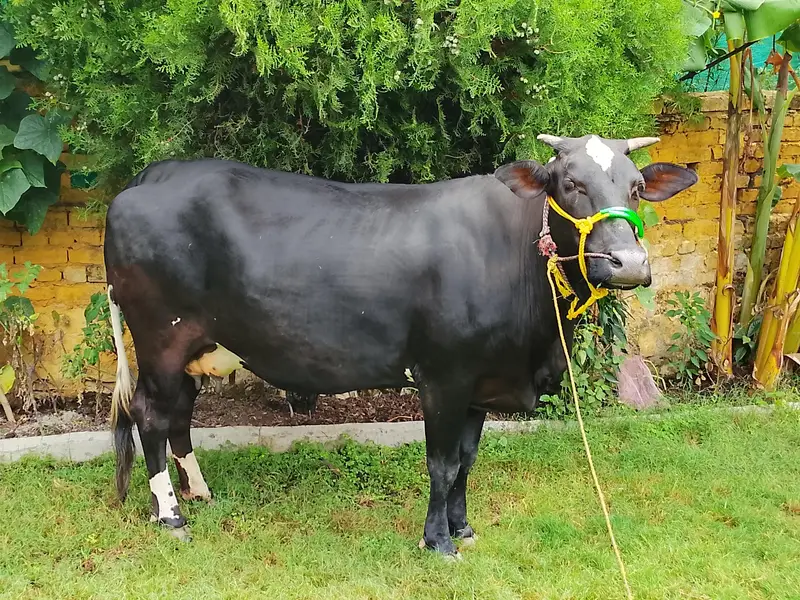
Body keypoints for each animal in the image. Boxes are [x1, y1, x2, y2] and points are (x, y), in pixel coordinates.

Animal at [105, 134, 697, 556]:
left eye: (636, 187)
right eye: (571, 182)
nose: (628, 263)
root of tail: (155, 174)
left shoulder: (481, 382)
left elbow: (467, 460)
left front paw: (463, 528)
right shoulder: (443, 375)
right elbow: (441, 462)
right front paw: (437, 541)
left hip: (193, 346)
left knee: (180, 413)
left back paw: (198, 491)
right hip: (159, 338)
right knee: (151, 416)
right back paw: (171, 516)